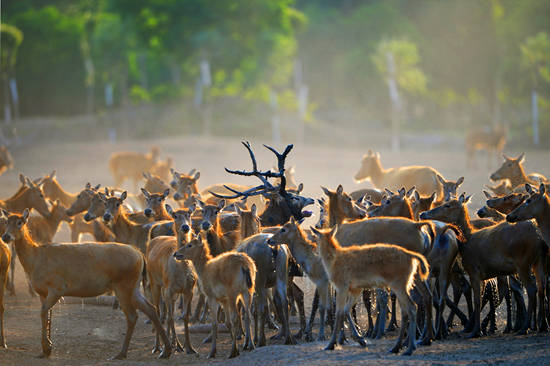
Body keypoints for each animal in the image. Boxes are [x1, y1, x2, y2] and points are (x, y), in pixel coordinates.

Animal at [0, 207, 172, 358]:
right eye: (6, 221)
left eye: (20, 222)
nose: (6, 237)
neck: (35, 260)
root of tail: (140, 256)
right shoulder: (43, 292)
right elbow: (48, 315)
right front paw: (46, 349)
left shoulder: (57, 287)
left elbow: (43, 313)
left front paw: (47, 348)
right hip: (134, 286)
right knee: (150, 308)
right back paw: (166, 350)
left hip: (123, 284)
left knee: (132, 315)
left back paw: (121, 353)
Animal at [310, 227, 432, 356]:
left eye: (316, 237)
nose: (314, 249)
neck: (333, 260)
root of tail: (411, 256)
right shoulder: (356, 289)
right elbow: (346, 310)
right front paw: (360, 339)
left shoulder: (342, 287)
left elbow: (339, 313)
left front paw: (331, 344)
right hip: (404, 286)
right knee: (406, 310)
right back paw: (397, 347)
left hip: (399, 285)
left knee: (412, 307)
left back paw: (409, 348)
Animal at [420, 194, 548, 338]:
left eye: (448, 205)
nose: (423, 213)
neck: (466, 241)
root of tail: (539, 237)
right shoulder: (484, 275)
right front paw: (478, 328)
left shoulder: (474, 271)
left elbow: (477, 300)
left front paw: (476, 331)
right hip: (538, 261)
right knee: (541, 288)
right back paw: (542, 325)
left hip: (523, 263)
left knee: (531, 289)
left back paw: (524, 327)